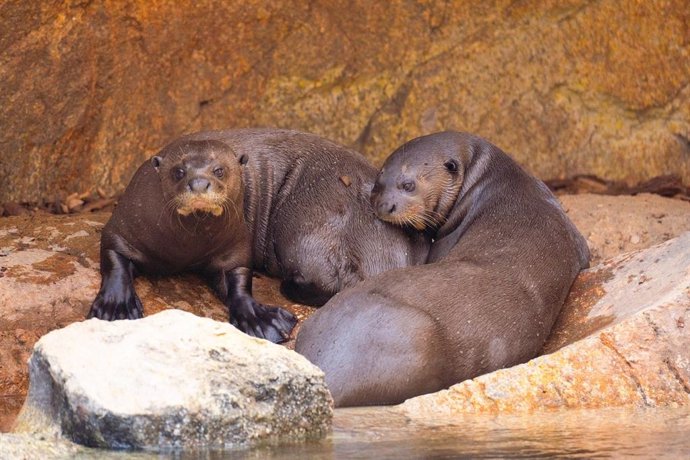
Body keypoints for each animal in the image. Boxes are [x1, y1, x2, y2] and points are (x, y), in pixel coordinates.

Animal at [88, 128, 428, 342]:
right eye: (178, 171)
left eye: (220, 170)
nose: (199, 184)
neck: (184, 249)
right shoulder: (125, 223)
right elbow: (113, 254)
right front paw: (116, 307)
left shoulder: (234, 247)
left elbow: (238, 276)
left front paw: (259, 319)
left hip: (303, 222)